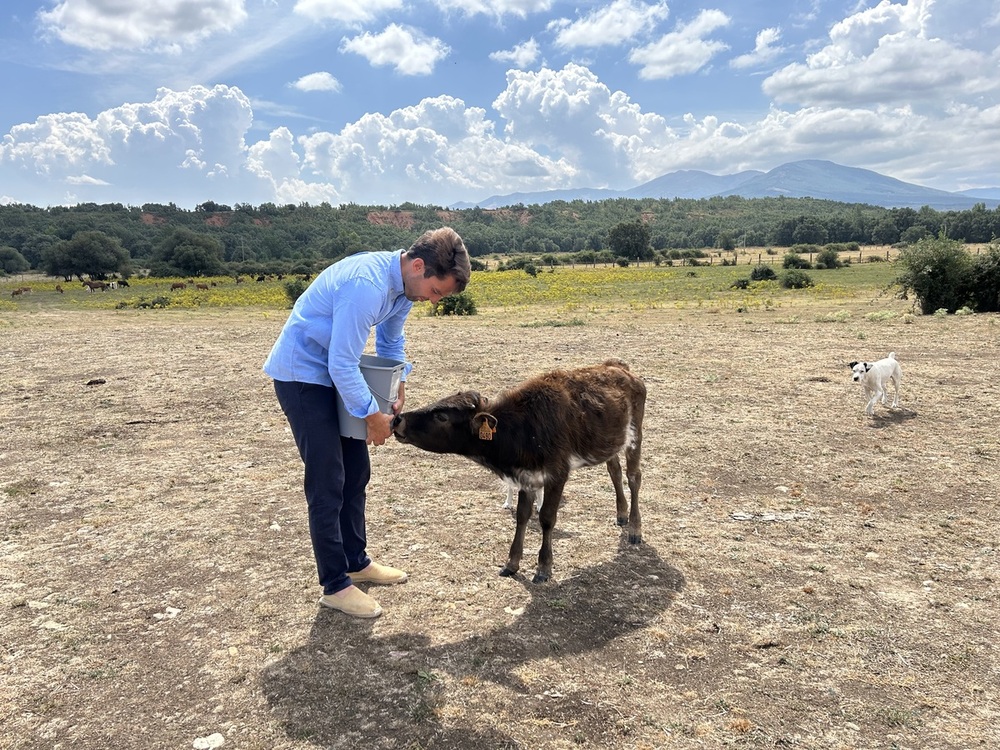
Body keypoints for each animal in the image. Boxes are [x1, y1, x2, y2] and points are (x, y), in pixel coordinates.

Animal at [392, 362, 648, 584]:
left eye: (442, 416)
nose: (397, 419)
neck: (523, 428)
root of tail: (619, 367)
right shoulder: (527, 478)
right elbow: (522, 515)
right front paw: (512, 563)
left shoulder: (557, 475)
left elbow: (546, 518)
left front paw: (544, 567)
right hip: (611, 442)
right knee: (614, 471)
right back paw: (621, 514)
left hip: (635, 437)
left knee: (633, 478)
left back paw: (635, 528)